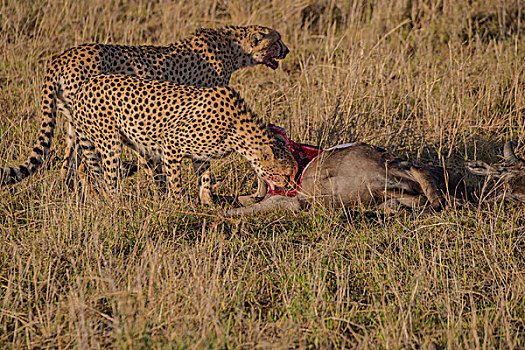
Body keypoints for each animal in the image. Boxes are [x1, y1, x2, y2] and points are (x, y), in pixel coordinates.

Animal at [0, 24, 288, 190]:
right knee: (84, 166)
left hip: (73, 121)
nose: (286, 50)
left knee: (68, 165)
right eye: (277, 40)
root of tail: (61, 57)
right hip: (92, 124)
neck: (234, 47)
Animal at [71, 75, 296, 204]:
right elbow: (176, 181)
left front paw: (208, 203)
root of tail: (86, 84)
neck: (237, 129)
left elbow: (204, 179)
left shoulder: (201, 155)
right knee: (108, 176)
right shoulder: (171, 143)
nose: (291, 188)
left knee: (85, 167)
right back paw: (116, 203)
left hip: (131, 142)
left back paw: (95, 197)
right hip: (110, 143)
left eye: (294, 173)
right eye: (285, 174)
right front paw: (179, 206)